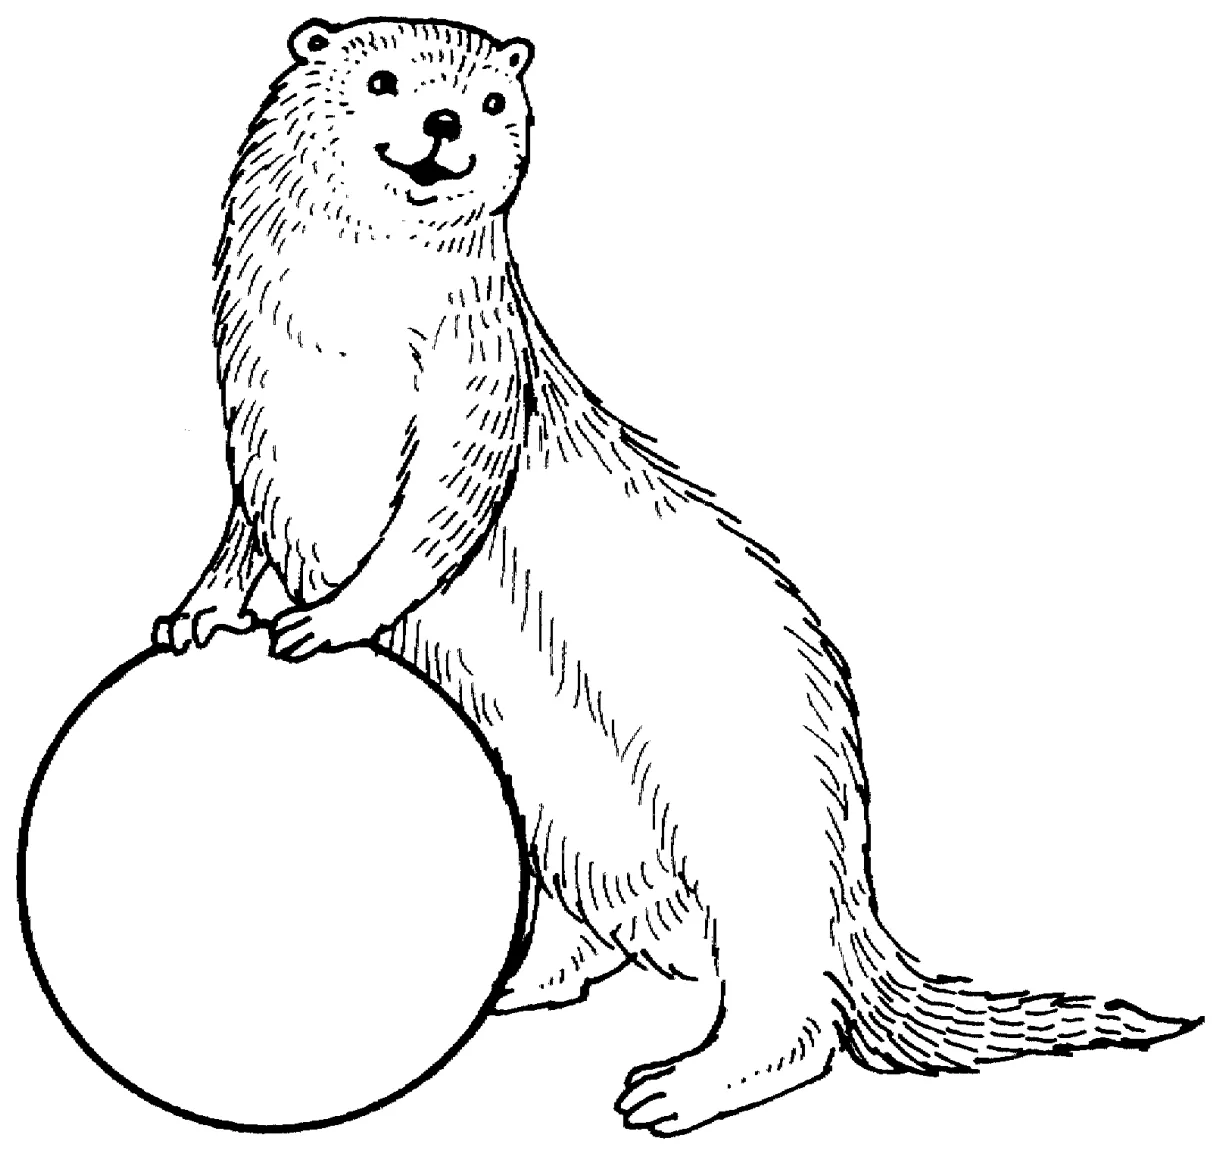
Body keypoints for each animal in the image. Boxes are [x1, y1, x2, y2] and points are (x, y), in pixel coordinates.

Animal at [153, 16, 1201, 1137]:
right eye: (383, 79)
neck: (333, 338)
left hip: (749, 797)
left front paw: (326, 618)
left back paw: (678, 1087)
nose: (443, 124)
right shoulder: (251, 410)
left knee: (793, 1008)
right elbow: (238, 529)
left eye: (492, 101)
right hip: (561, 824)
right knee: (583, 938)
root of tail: (855, 885)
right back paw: (509, 986)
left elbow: (440, 512)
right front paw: (197, 615)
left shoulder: (479, 371)